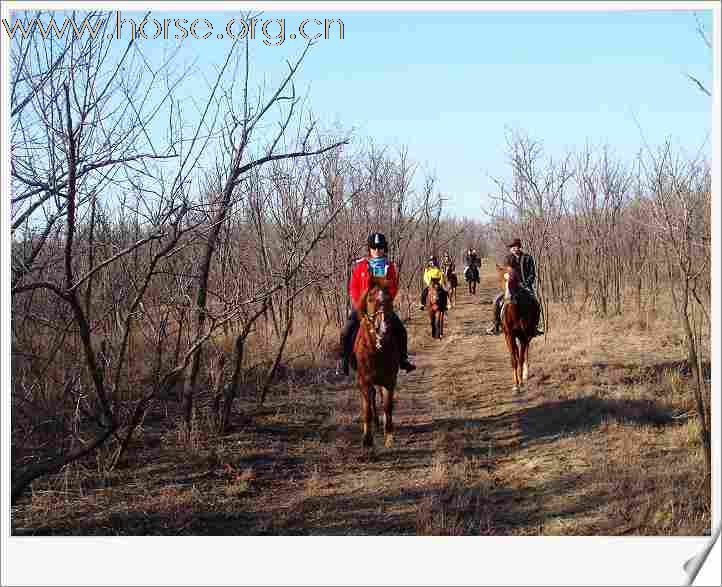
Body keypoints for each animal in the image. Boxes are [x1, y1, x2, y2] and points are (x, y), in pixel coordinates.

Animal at [352, 276, 400, 450]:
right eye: (370, 299)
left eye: (389, 299)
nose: (383, 329)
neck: (377, 349)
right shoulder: (364, 381)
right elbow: (366, 409)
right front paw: (367, 440)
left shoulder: (390, 380)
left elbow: (388, 406)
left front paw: (389, 436)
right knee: (370, 399)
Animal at [496, 262, 540, 392]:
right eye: (501, 279)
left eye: (514, 279)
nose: (509, 297)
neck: (515, 312)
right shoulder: (509, 335)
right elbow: (514, 360)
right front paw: (516, 385)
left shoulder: (524, 336)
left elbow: (521, 358)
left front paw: (521, 382)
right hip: (510, 337)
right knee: (516, 352)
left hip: (527, 335)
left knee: (525, 352)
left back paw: (526, 374)